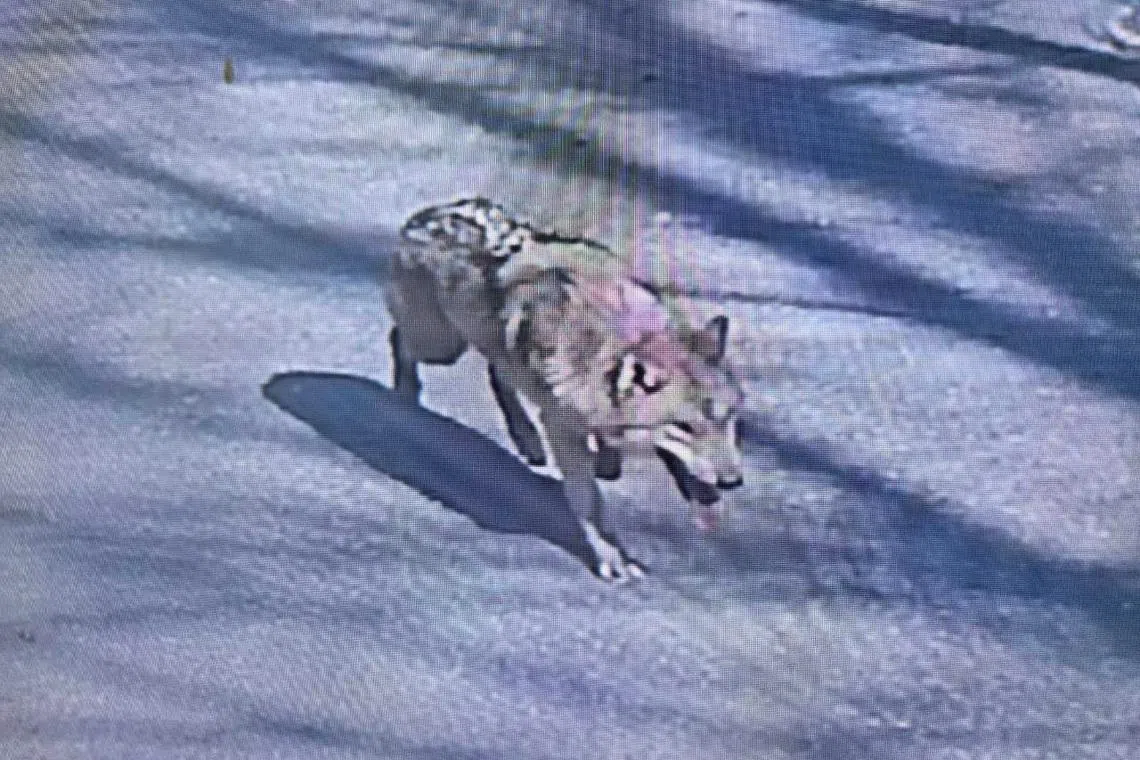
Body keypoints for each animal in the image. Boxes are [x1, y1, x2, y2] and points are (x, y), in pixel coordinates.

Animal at [385, 197, 744, 580]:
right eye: (684, 427)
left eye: (728, 419)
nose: (732, 482)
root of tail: (428, 213)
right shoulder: (562, 429)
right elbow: (590, 504)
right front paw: (615, 560)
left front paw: (611, 461)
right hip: (441, 346)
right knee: (400, 340)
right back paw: (405, 397)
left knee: (498, 372)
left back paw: (527, 441)